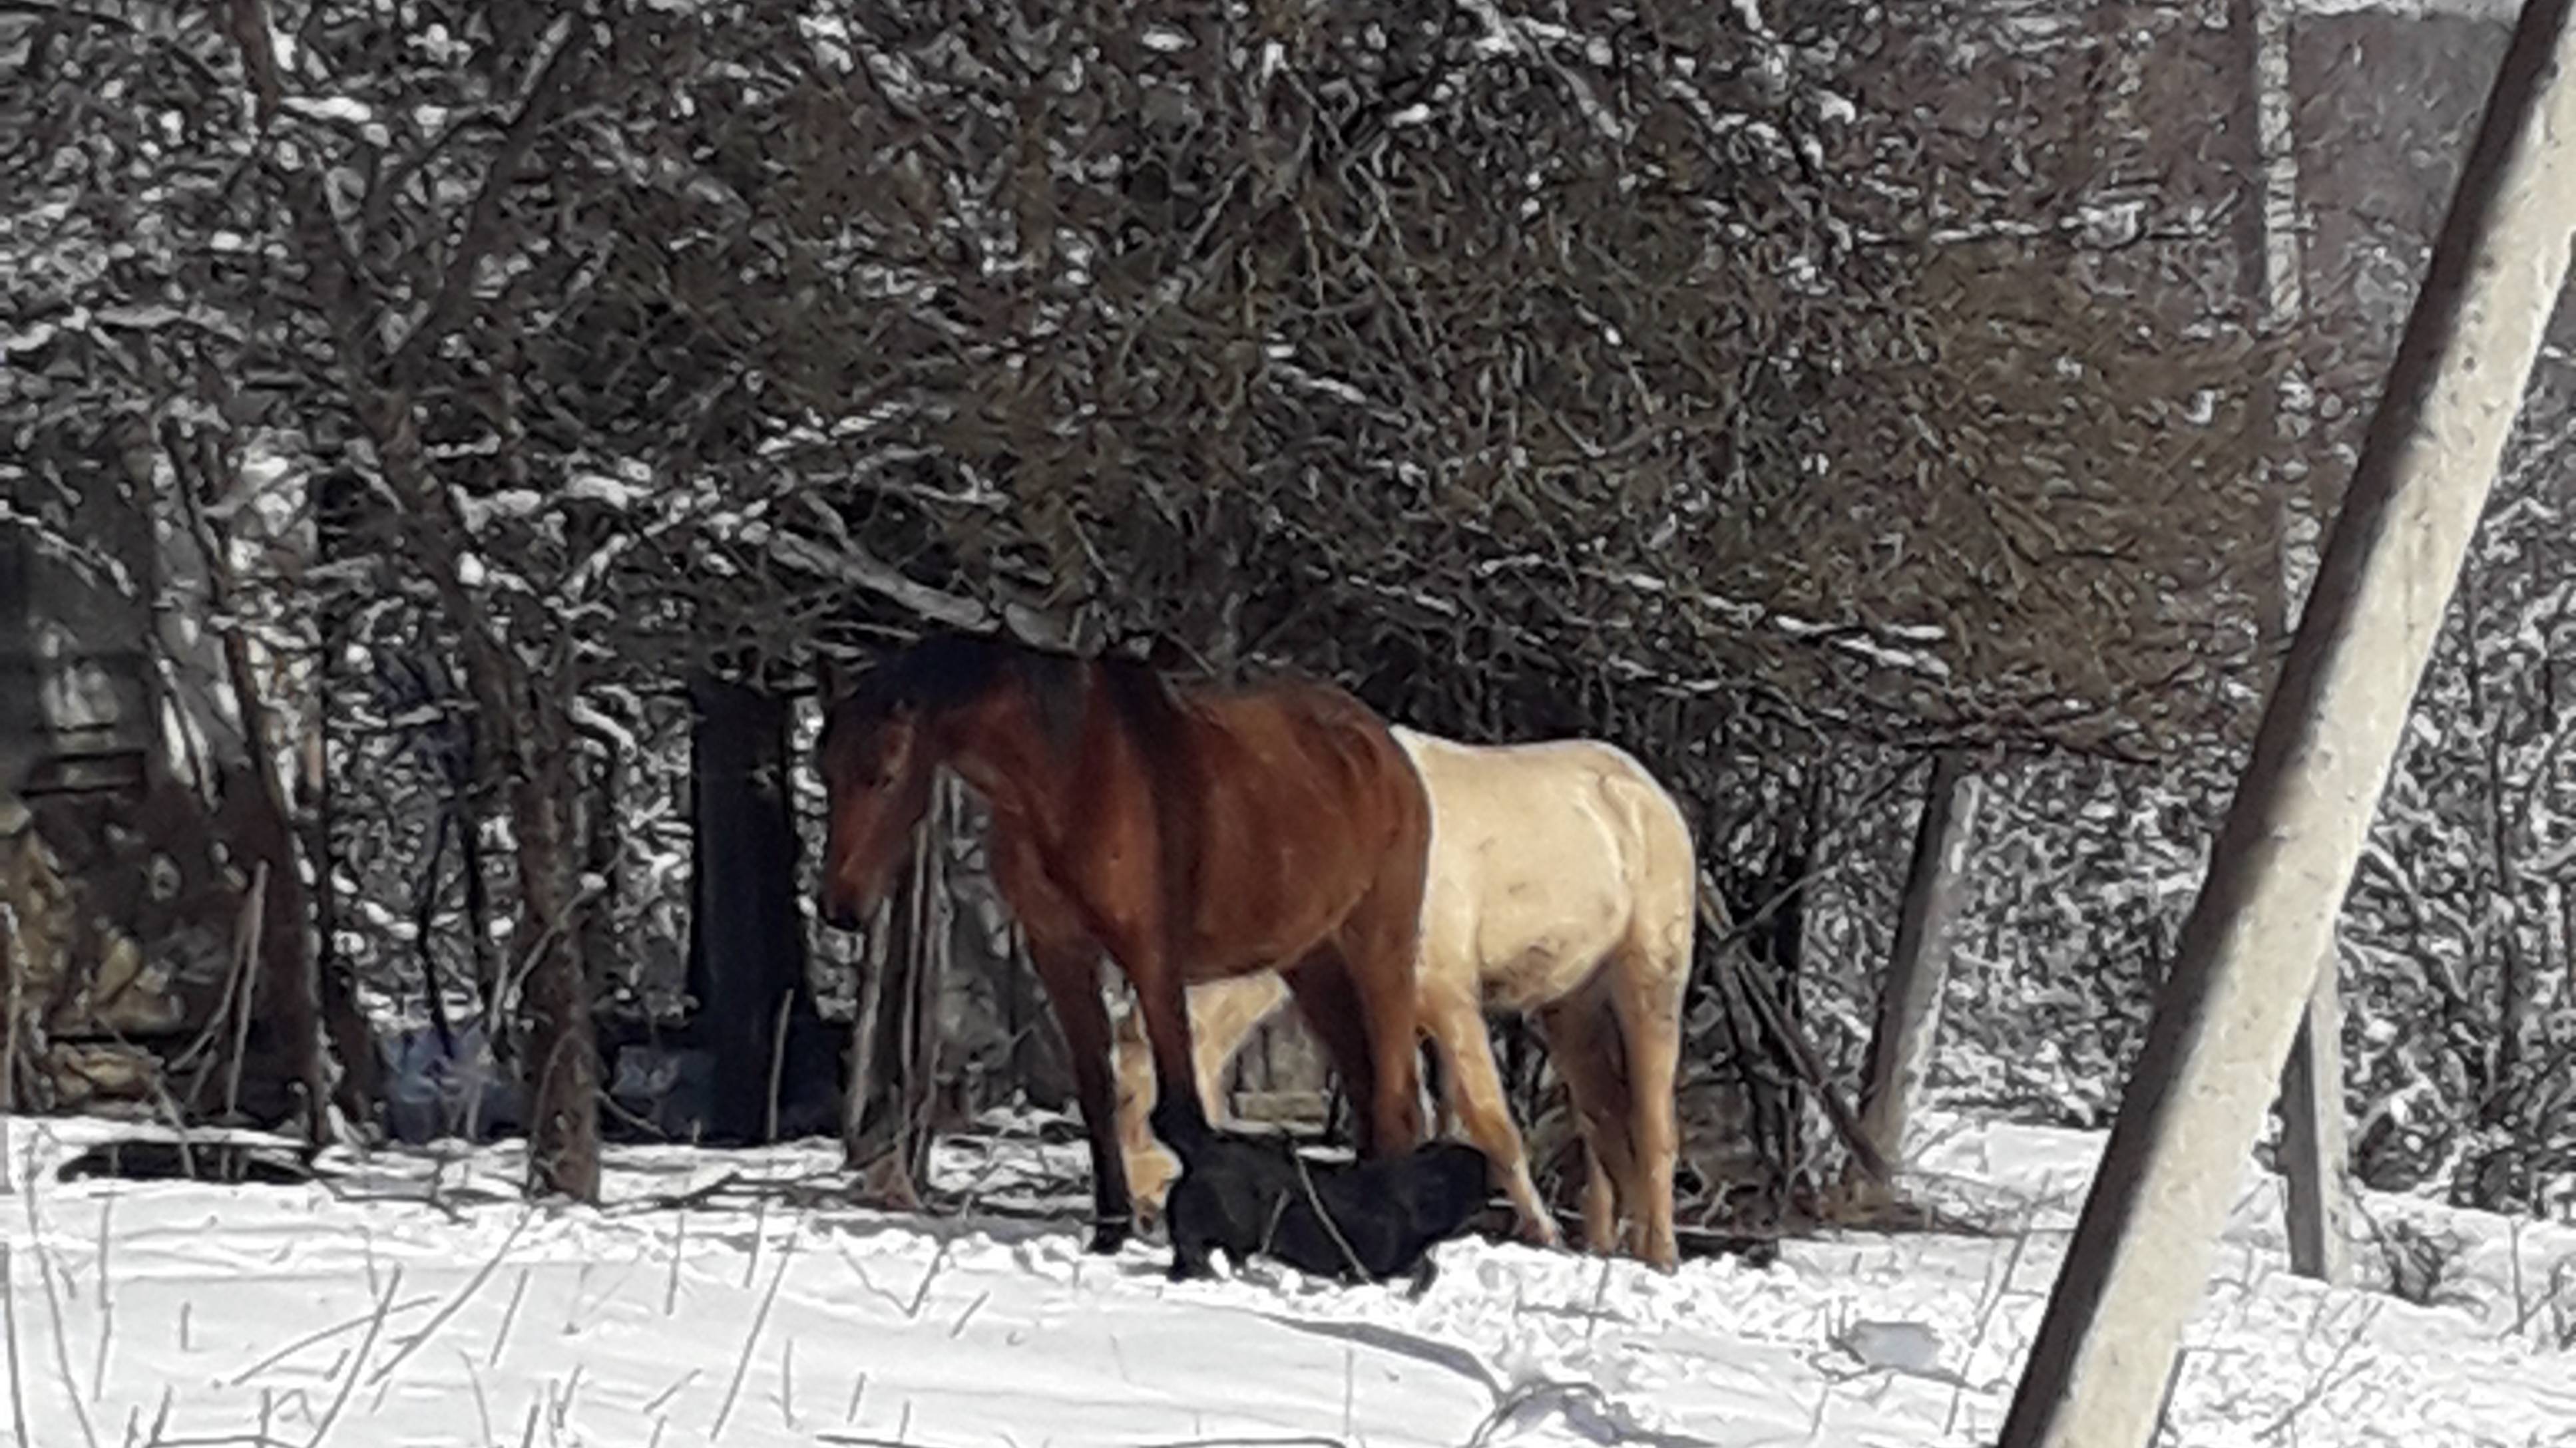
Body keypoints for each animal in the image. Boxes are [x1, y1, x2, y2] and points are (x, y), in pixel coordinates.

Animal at [819, 631, 1442, 1252]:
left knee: (1395, 1101)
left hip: (1378, 947)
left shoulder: (1151, 956)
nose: (840, 907)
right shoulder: (1060, 952)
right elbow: (1098, 1093)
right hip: (1313, 963)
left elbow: (1181, 1104)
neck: (1068, 775)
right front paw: (1109, 1233)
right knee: (1366, 1092)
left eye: (886, 774)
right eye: (826, 771)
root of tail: (1387, 753)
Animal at [1112, 721, 1689, 1262]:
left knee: (1653, 1125)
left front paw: (1543, 1233)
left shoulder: (1446, 998)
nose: (1143, 1214)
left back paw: (1659, 1253)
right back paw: (1610, 1248)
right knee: (1605, 1125)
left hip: (1650, 980)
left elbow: (1490, 1122)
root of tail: (1647, 791)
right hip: (1571, 1004)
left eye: (1133, 1097)